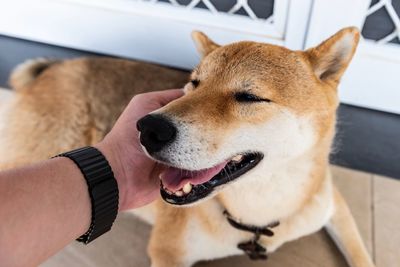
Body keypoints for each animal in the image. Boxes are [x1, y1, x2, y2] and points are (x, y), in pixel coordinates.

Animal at [0, 27, 376, 267]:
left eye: (249, 96)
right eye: (194, 84)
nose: (147, 128)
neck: (259, 213)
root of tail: (56, 67)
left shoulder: (332, 203)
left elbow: (362, 254)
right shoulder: (167, 252)